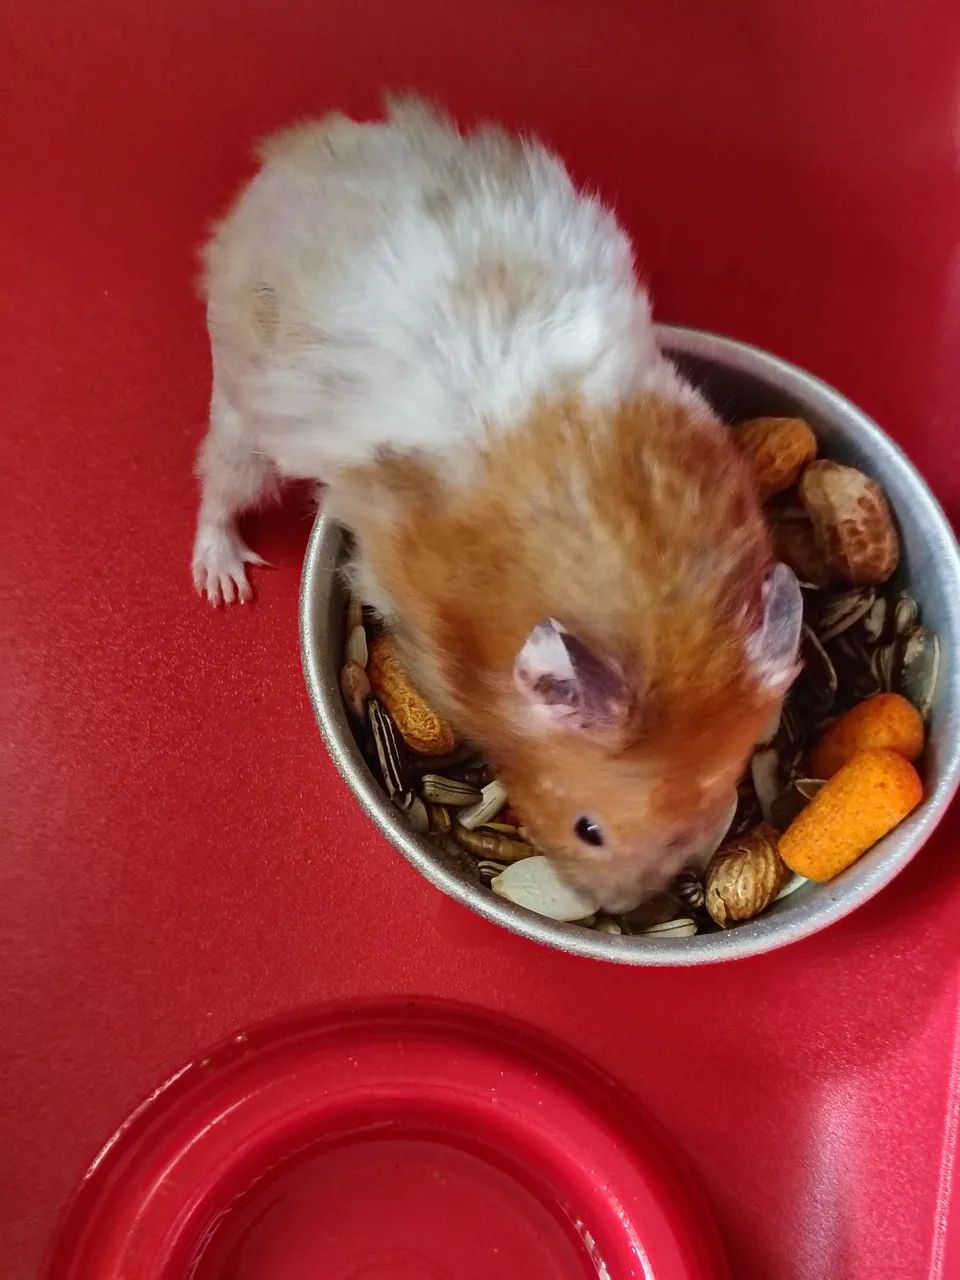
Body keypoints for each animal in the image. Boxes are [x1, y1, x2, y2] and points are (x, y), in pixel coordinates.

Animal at [193, 94, 802, 911]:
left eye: (719, 798)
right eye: (588, 830)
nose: (623, 909)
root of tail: (285, 159)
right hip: (246, 409)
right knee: (218, 485)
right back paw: (222, 580)